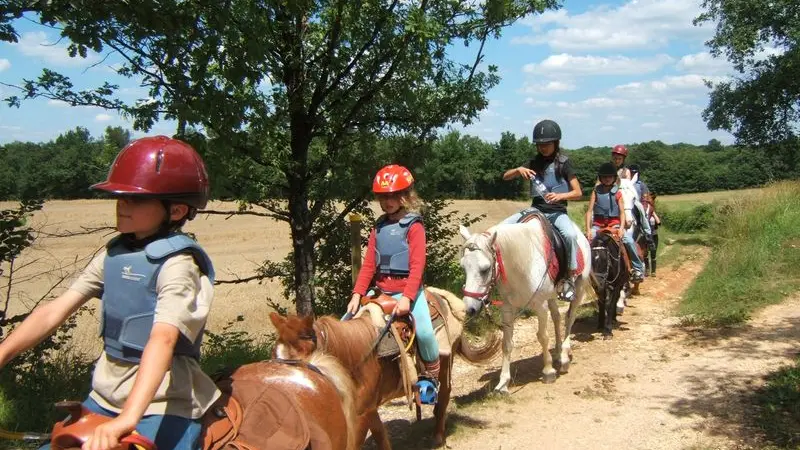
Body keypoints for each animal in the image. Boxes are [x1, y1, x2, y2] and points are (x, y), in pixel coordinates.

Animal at [270, 286, 500, 448]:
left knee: (444, 394)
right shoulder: (368, 408)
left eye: (303, 359)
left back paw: (438, 436)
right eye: (274, 356)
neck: (357, 355)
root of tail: (443, 296)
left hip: (445, 359)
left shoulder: (360, 413)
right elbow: (380, 434)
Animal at [456, 219, 592, 394]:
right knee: (557, 318)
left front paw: (548, 371)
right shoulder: (507, 308)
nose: (469, 308)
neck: (522, 264)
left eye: (485, 269)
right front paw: (503, 383)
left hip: (579, 288)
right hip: (551, 297)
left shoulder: (540, 306)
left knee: (569, 319)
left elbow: (543, 337)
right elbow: (506, 344)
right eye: (463, 267)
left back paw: (563, 357)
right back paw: (558, 351)